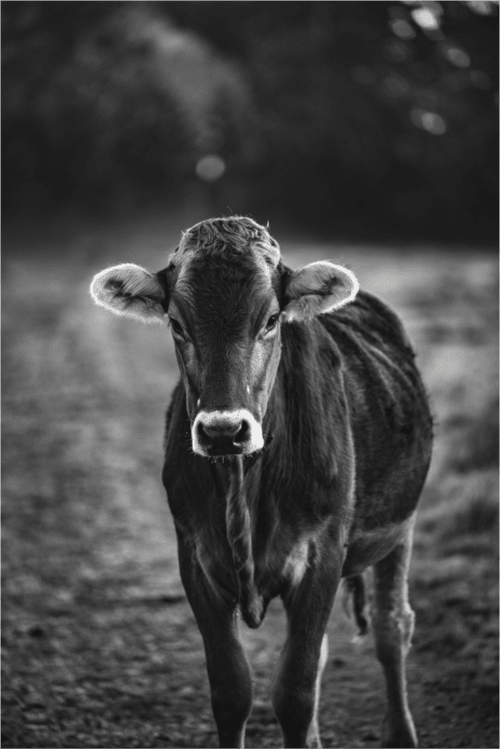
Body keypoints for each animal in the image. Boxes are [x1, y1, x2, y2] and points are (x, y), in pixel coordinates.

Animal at [90, 216, 433, 749]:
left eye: (270, 319)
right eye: (177, 324)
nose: (222, 430)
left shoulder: (321, 557)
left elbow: (294, 694)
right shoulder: (195, 560)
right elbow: (232, 693)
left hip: (401, 527)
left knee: (391, 627)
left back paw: (400, 731)